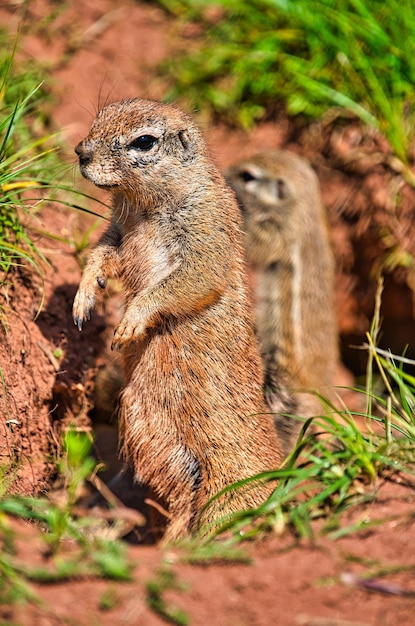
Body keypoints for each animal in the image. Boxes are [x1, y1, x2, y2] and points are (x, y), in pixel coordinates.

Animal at [73, 98, 284, 540]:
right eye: (101, 115)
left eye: (144, 142)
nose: (81, 152)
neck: (143, 207)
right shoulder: (118, 231)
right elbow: (101, 253)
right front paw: (83, 298)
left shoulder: (206, 230)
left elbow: (187, 279)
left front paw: (128, 324)